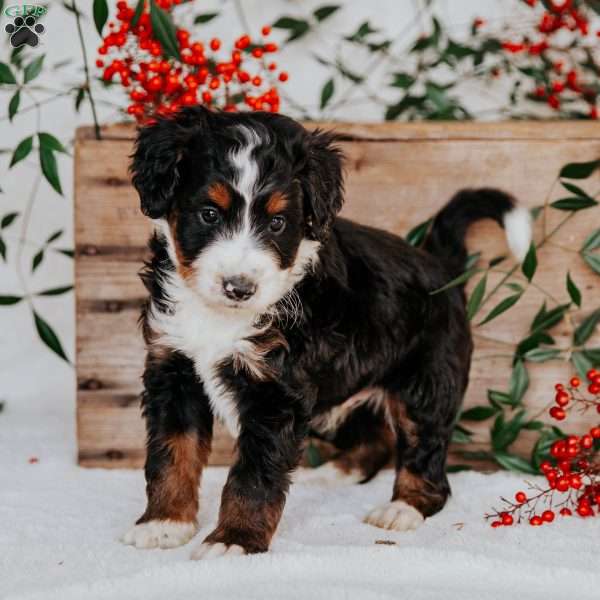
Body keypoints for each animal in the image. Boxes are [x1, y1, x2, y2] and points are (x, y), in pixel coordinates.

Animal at [120, 105, 528, 560]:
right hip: (342, 388)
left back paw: (403, 508)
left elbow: (253, 477)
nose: (239, 288)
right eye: (209, 214)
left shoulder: (276, 392)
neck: (221, 316)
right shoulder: (173, 367)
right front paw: (165, 524)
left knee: (426, 449)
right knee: (373, 439)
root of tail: (441, 267)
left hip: (426, 381)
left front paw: (233, 540)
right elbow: (173, 452)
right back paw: (333, 473)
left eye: (278, 223)